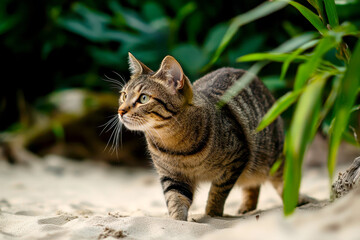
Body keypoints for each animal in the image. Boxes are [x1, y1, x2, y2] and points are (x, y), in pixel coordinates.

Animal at [116, 52, 310, 221]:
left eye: (143, 98)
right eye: (124, 95)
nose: (120, 110)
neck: (175, 146)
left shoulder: (236, 159)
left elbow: (217, 193)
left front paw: (212, 214)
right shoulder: (171, 176)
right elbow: (175, 200)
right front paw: (177, 221)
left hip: (272, 155)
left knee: (282, 178)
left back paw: (296, 200)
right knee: (252, 185)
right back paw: (247, 207)